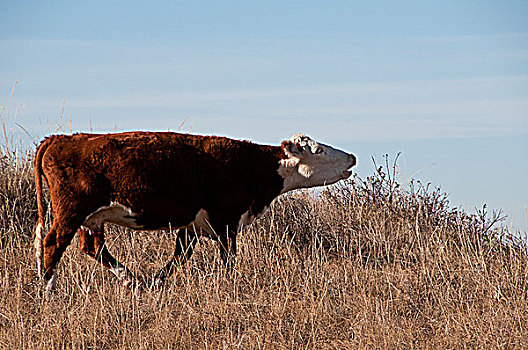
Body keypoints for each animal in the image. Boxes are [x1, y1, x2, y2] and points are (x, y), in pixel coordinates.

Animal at [33, 132, 354, 292]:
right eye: (319, 150)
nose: (352, 156)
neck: (251, 165)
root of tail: (61, 138)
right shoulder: (227, 221)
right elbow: (228, 259)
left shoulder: (193, 225)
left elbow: (180, 255)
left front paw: (156, 282)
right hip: (70, 212)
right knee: (52, 244)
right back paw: (48, 291)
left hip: (92, 219)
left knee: (92, 248)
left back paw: (131, 280)